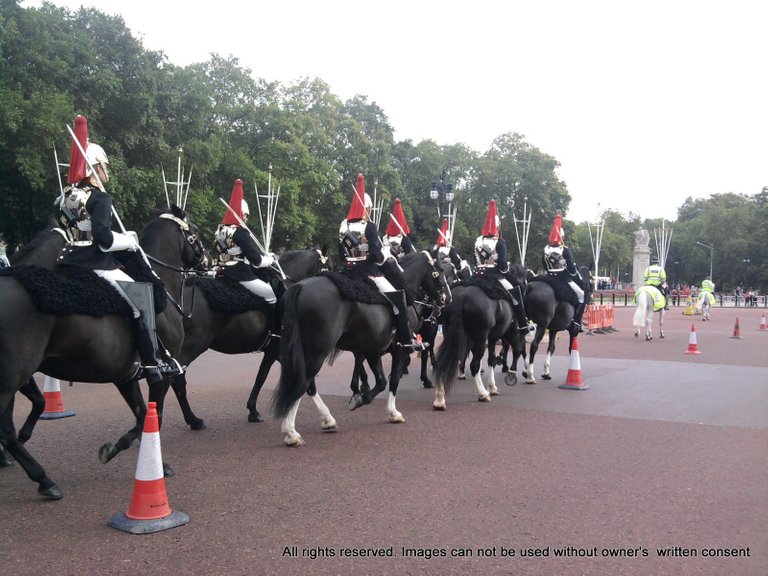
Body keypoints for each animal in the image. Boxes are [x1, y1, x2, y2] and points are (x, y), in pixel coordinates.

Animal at [0, 208, 204, 500]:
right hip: (12, 378)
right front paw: (132, 454)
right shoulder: (160, 373)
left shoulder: (126, 375)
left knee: (8, 428)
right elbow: (154, 416)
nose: (207, 260)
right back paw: (44, 480)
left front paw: (133, 455)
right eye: (194, 232)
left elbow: (143, 414)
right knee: (5, 429)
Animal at [168, 243, 332, 428]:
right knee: (177, 379)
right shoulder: (275, 350)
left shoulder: (279, 352)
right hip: (194, 345)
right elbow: (262, 377)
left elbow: (305, 381)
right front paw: (253, 411)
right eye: (328, 266)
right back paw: (193, 420)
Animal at [272, 251, 448, 446]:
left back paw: (327, 421)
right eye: (440, 270)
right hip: (318, 351)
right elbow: (393, 379)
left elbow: (381, 381)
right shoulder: (399, 350)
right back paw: (291, 432)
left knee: (307, 384)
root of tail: (300, 286)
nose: (445, 299)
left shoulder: (373, 351)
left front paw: (361, 397)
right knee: (303, 382)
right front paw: (392, 412)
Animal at [432, 264, 528, 408]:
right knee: (474, 365)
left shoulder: (486, 338)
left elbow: (490, 359)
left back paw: (439, 398)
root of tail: (462, 297)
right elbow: (493, 358)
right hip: (480, 337)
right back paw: (482, 393)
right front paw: (493, 386)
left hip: (450, 335)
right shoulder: (497, 335)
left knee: (442, 363)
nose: (512, 373)